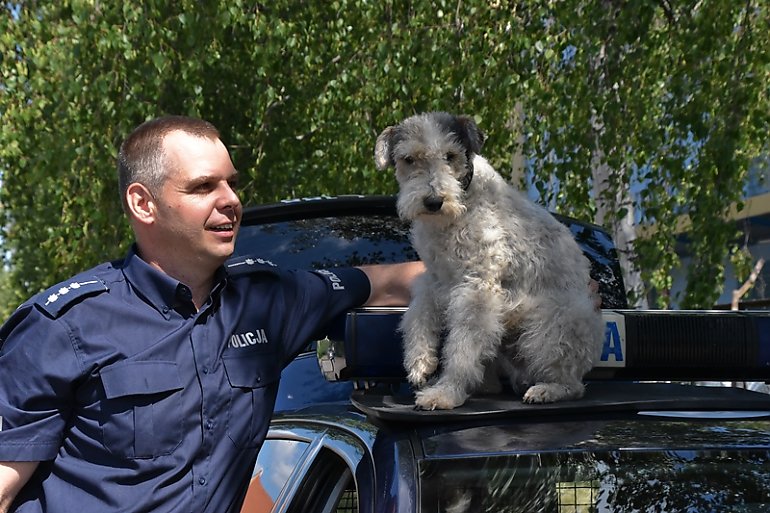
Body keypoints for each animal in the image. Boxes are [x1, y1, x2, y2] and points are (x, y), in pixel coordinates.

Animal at [376, 111, 604, 408]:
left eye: (450, 155)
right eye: (408, 159)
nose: (434, 202)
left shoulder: (477, 287)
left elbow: (462, 349)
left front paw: (445, 393)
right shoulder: (435, 277)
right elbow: (418, 313)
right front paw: (420, 363)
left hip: (549, 327)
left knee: (572, 384)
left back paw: (545, 390)